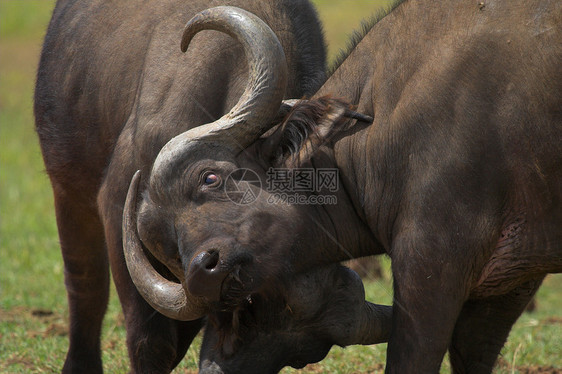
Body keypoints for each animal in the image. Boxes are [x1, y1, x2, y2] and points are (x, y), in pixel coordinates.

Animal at [34, 1, 328, 372]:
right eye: (210, 178)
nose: (209, 266)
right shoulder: (118, 210)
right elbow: (150, 340)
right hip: (68, 192)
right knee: (85, 286)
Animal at [122, 0, 560, 372]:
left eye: (209, 177)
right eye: (168, 245)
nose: (202, 272)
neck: (380, 125)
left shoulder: (432, 262)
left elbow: (411, 358)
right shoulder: (508, 284)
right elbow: (473, 351)